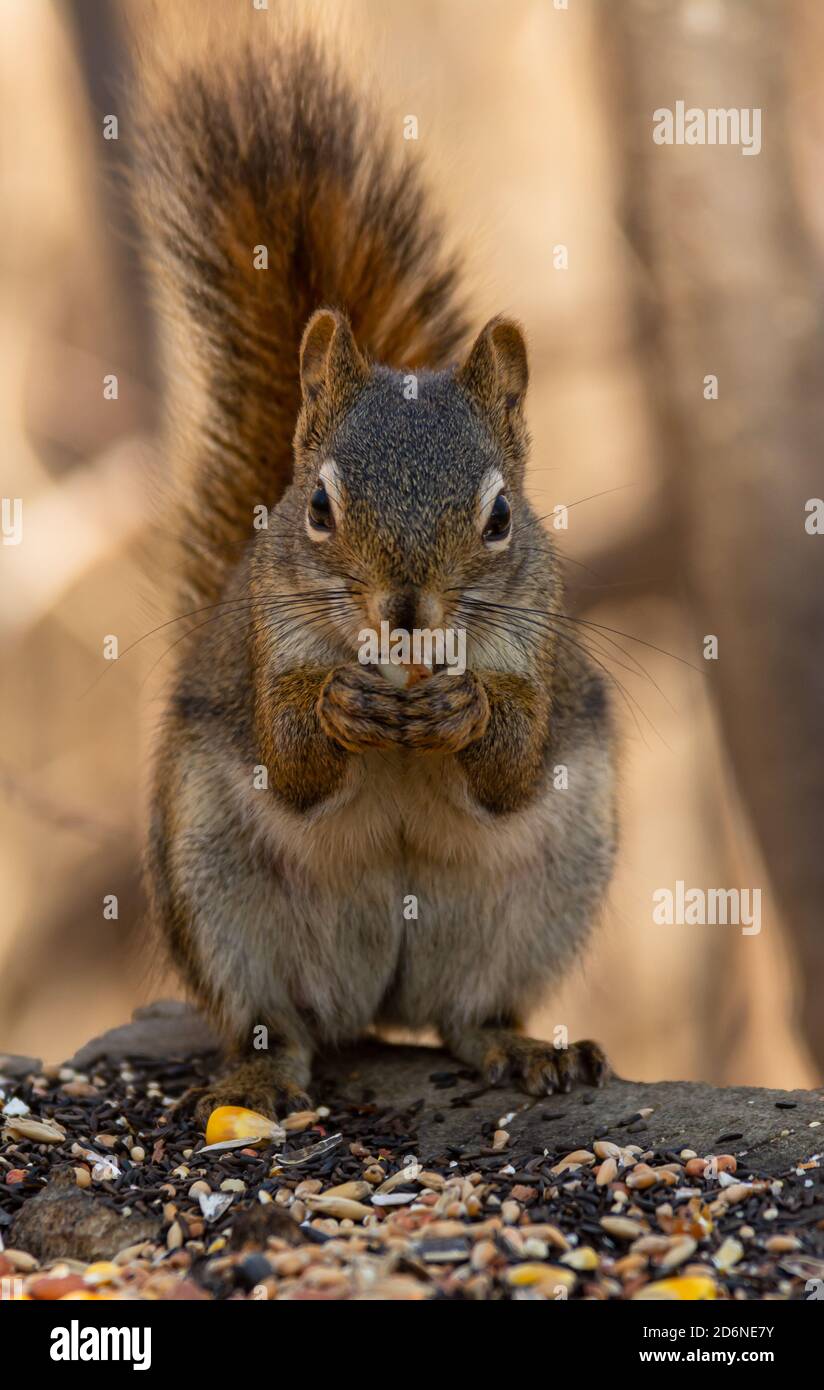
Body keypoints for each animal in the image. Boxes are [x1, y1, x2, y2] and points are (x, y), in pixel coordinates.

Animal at [134, 27, 614, 1123]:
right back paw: (260, 1072)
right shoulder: (270, 647)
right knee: (276, 1019)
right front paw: (342, 705)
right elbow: (289, 760)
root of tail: (379, 999)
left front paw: (463, 710)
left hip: (543, 892)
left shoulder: (536, 651)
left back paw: (518, 1046)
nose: (404, 613)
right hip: (217, 889)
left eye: (499, 517)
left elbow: (514, 767)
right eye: (316, 509)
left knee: (465, 1013)